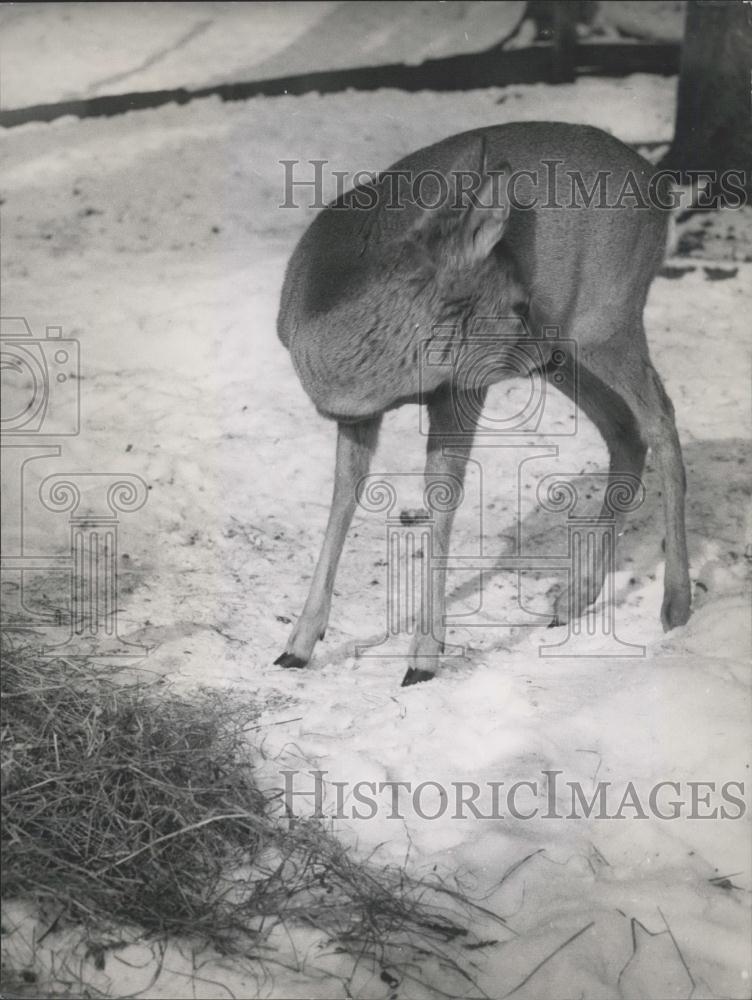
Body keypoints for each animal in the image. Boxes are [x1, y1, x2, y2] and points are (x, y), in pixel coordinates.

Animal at [274, 121, 692, 688]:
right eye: (517, 303)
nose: (538, 340)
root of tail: (659, 185)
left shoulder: (460, 386)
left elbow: (441, 497)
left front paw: (423, 657)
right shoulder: (358, 413)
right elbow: (345, 492)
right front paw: (298, 643)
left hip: (607, 319)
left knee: (661, 416)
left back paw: (676, 604)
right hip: (576, 351)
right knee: (626, 430)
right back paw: (572, 599)